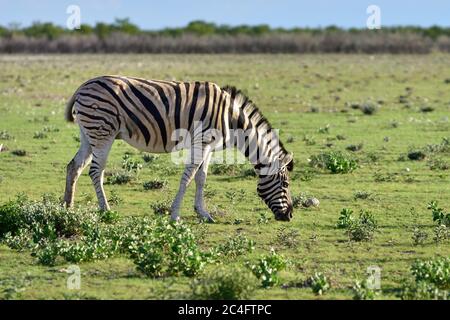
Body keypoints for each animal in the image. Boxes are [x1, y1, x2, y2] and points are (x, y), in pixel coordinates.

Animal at [64, 76, 296, 222]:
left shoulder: (209, 146)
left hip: (88, 133)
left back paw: (67, 207)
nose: (290, 216)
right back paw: (106, 210)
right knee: (96, 171)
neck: (232, 119)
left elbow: (201, 178)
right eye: (285, 184)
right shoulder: (202, 141)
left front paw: (203, 214)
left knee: (74, 166)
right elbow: (189, 176)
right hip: (103, 131)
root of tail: (83, 85)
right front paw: (175, 215)